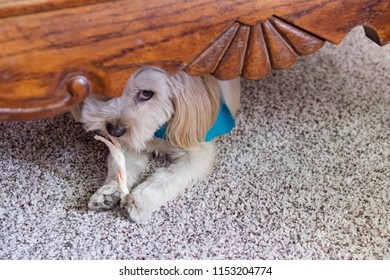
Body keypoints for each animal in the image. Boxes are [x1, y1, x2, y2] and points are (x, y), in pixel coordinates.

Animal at [71, 66, 239, 222]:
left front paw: (140, 201)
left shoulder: (197, 154)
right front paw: (110, 191)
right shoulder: (128, 146)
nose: (114, 130)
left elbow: (167, 177)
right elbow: (120, 168)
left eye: (146, 93)